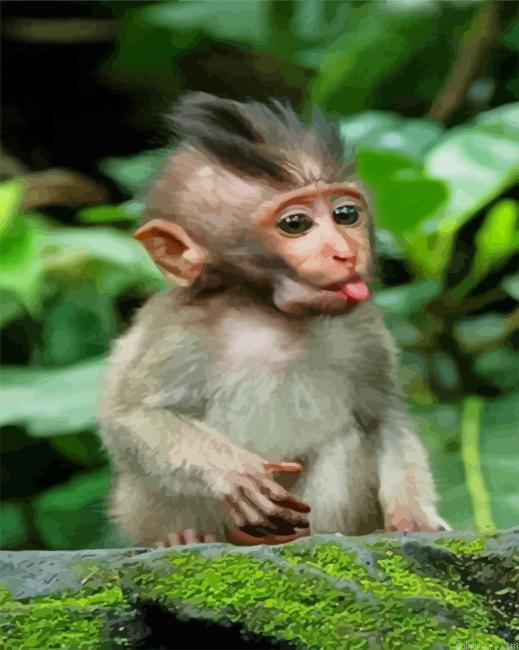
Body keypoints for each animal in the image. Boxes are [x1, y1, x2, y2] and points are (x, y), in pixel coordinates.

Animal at [98, 92, 450, 547]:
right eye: (295, 224)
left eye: (346, 214)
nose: (344, 252)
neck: (270, 315)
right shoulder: (176, 329)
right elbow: (132, 418)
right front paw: (236, 476)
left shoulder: (362, 329)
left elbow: (382, 416)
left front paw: (413, 515)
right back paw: (184, 538)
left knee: (345, 442)